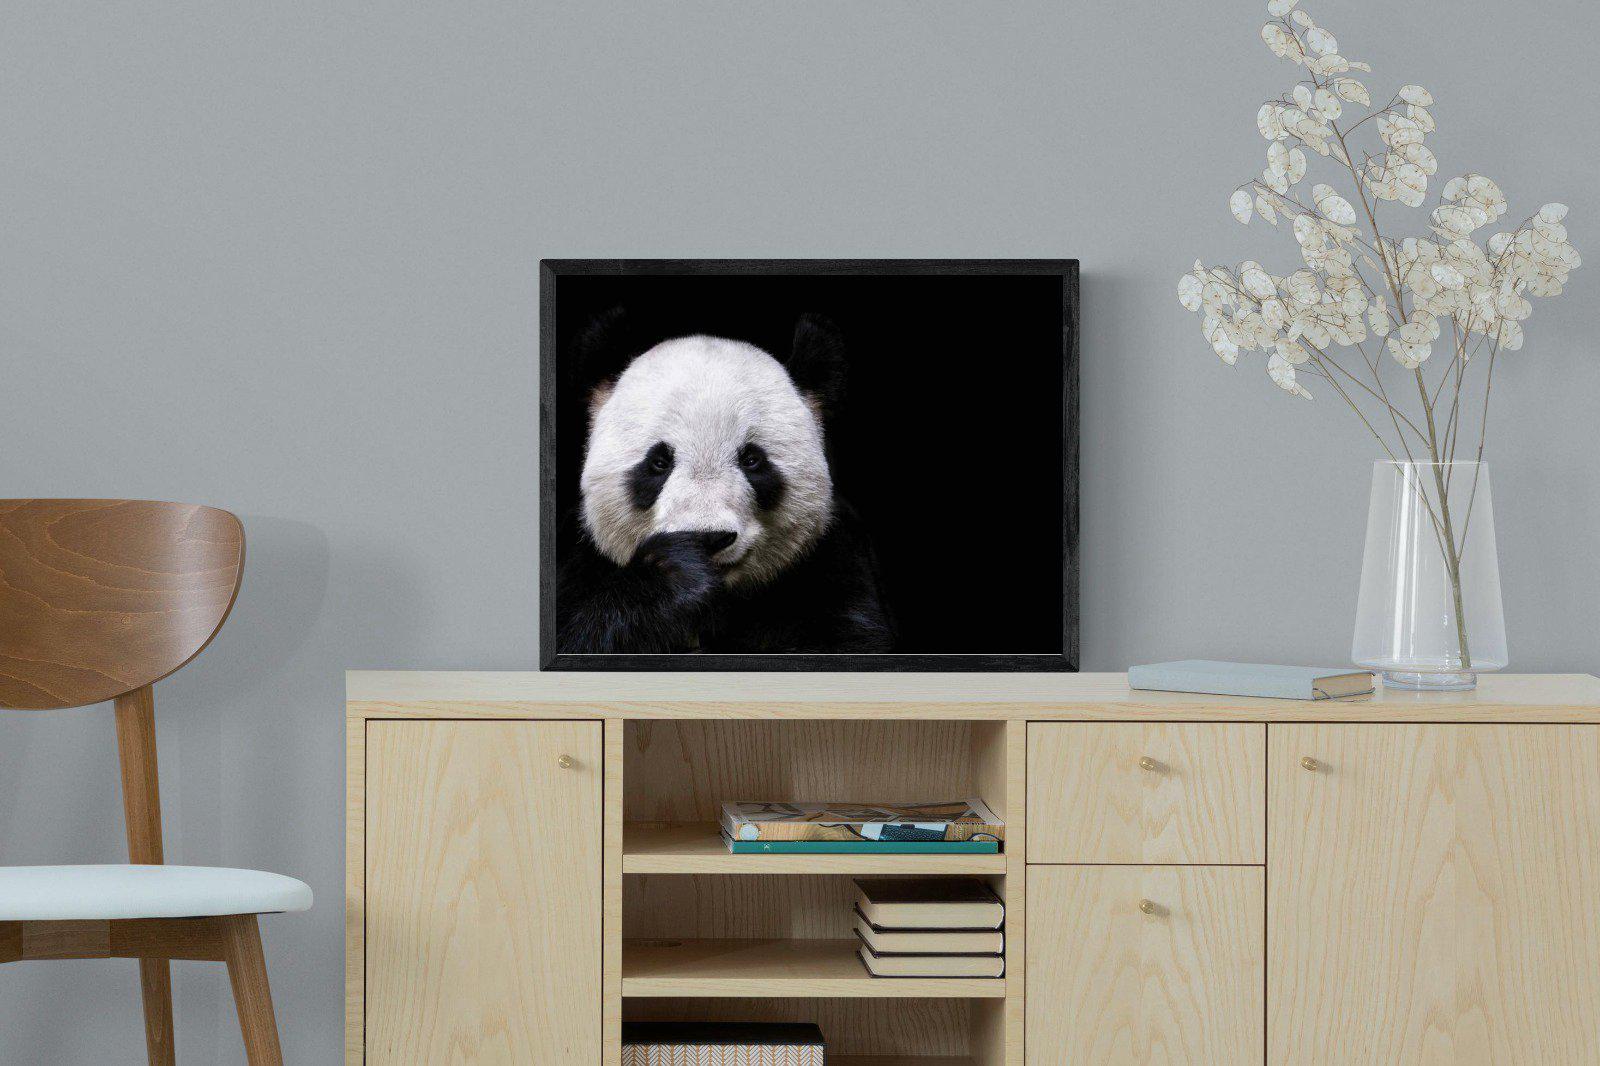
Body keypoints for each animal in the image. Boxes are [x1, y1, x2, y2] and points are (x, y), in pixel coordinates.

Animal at [556, 311, 894, 655]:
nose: (710, 537)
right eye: (659, 462)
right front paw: (676, 572)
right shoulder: (579, 559)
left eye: (752, 460)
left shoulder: (833, 564)